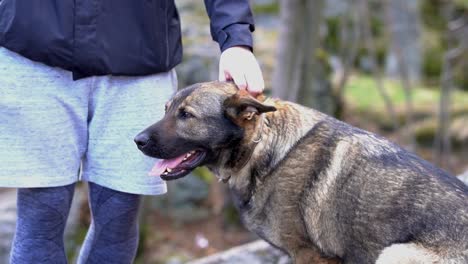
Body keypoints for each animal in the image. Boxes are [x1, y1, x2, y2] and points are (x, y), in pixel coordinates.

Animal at [134, 81, 468, 262]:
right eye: (166, 110)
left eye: (186, 115)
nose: (136, 140)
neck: (261, 145)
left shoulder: (309, 254)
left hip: (394, 254)